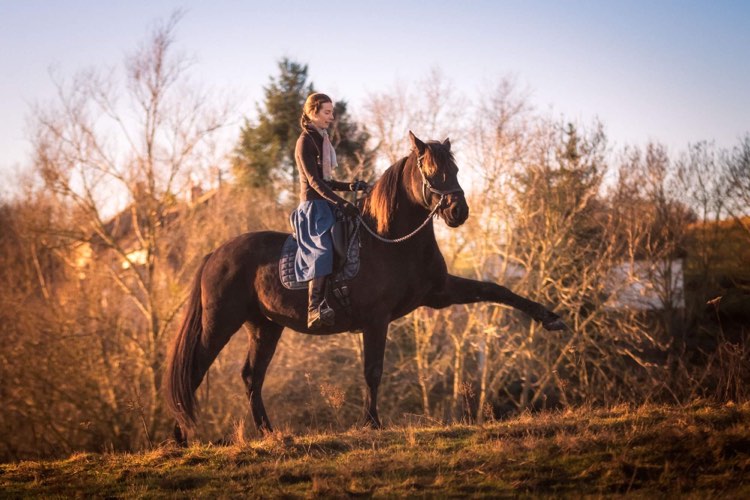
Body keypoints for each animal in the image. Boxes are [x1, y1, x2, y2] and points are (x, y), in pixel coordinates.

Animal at [165, 131, 565, 444]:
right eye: (431, 172)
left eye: (455, 170)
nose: (458, 211)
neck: (392, 242)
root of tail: (215, 253)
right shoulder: (376, 320)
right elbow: (373, 370)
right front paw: (372, 423)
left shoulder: (441, 294)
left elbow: (497, 290)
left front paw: (551, 319)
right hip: (219, 323)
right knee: (193, 373)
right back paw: (181, 438)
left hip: (265, 327)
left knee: (251, 377)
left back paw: (268, 433)